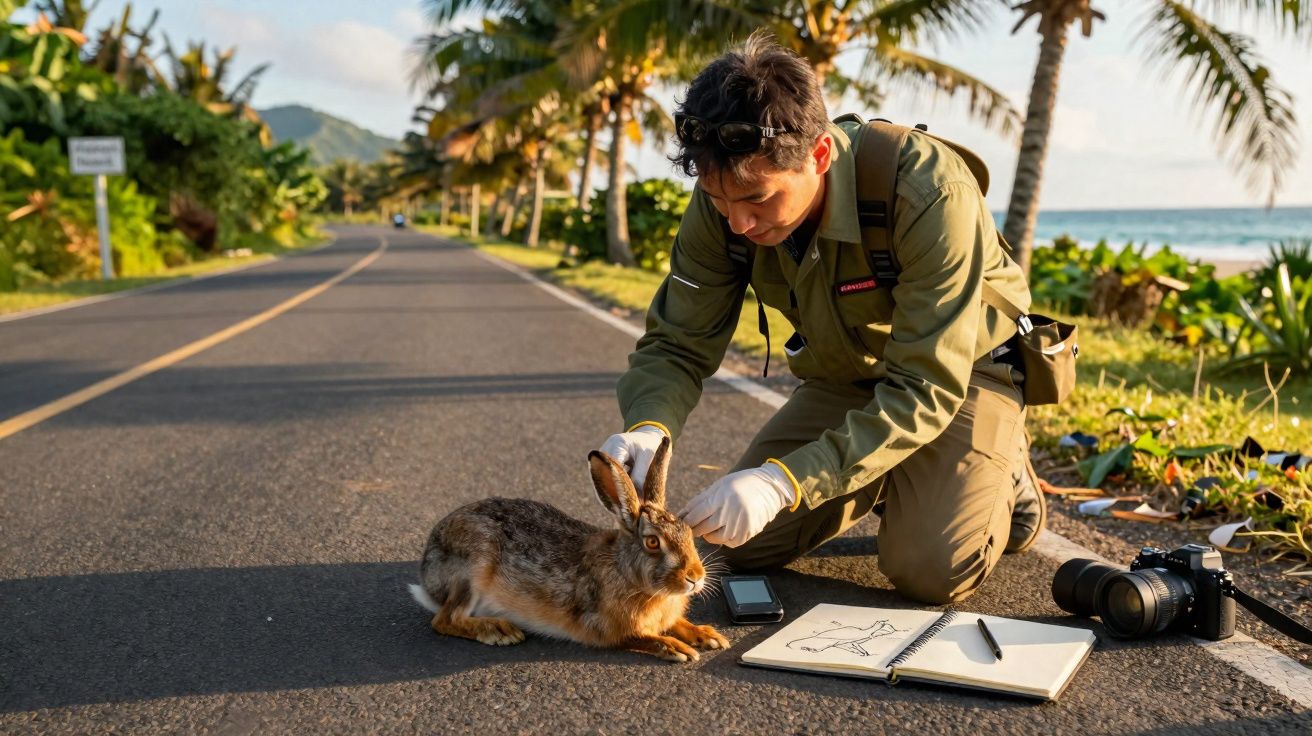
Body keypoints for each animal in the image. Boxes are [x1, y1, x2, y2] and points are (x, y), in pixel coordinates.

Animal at [408, 436, 730, 662]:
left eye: (688, 532)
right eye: (652, 542)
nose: (695, 577)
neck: (625, 572)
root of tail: (428, 573)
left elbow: (678, 623)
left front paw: (709, 636)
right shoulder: (612, 629)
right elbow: (645, 638)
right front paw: (678, 649)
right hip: (474, 565)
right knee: (446, 620)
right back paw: (498, 630)